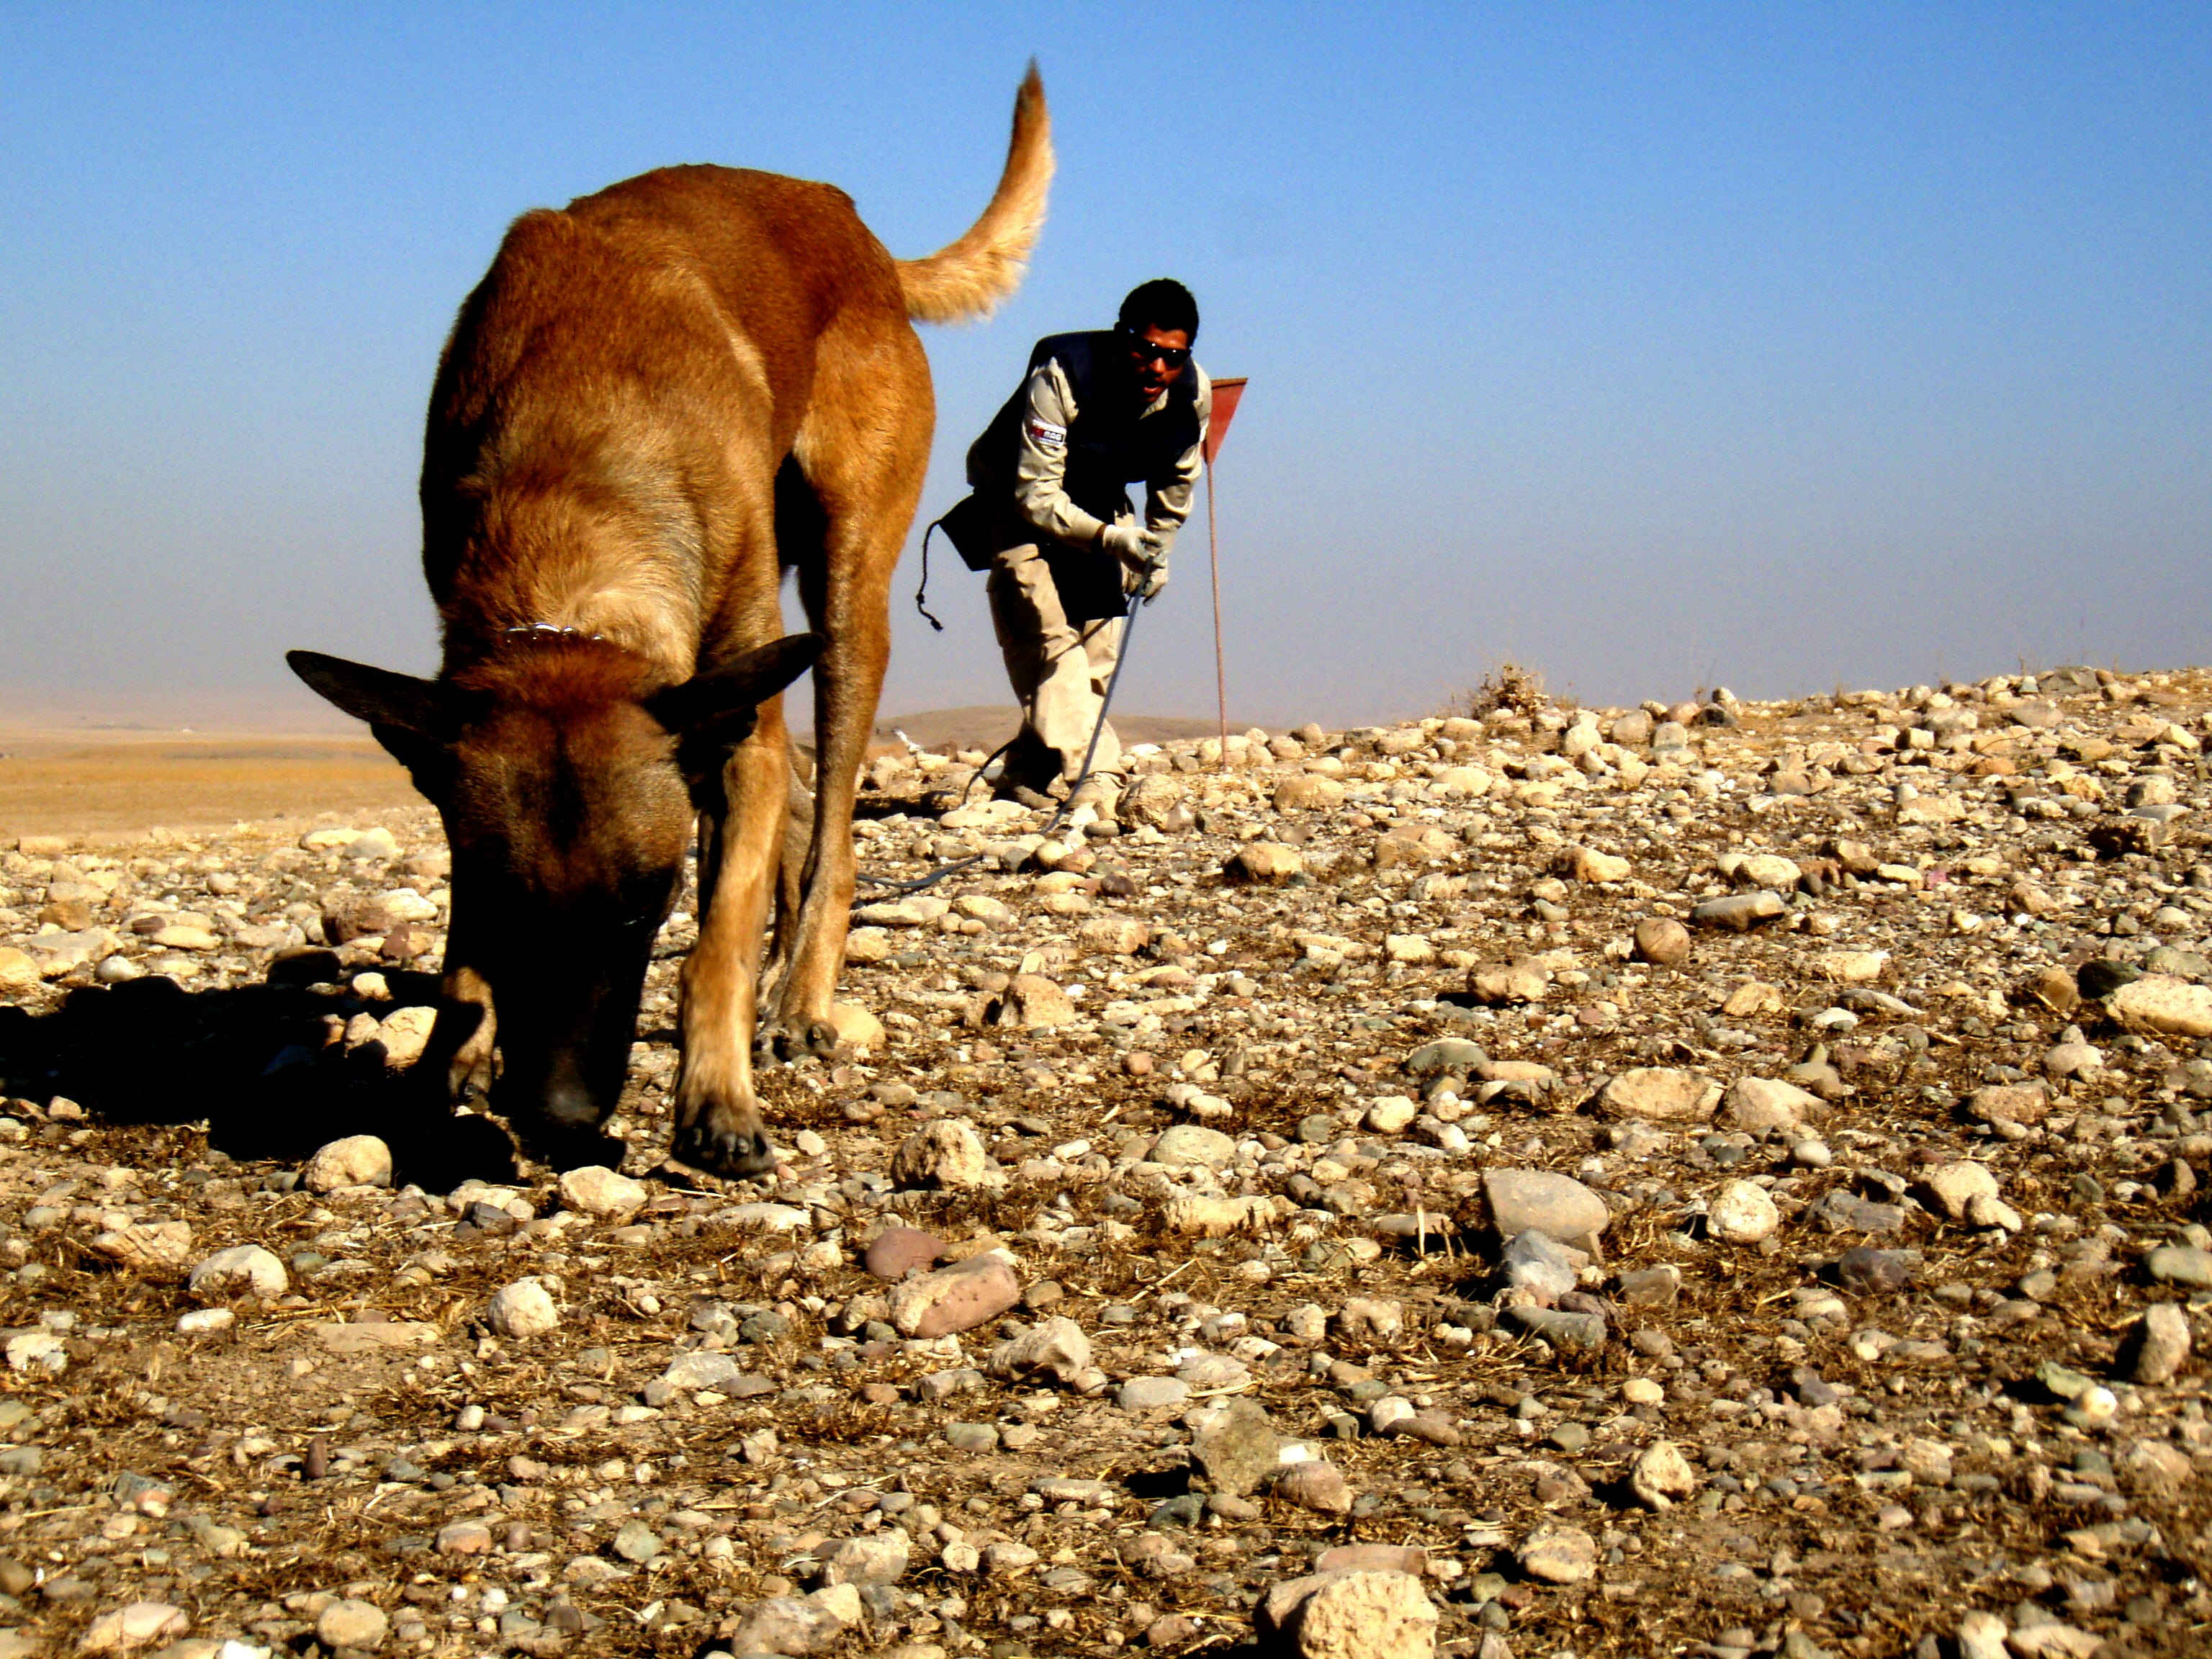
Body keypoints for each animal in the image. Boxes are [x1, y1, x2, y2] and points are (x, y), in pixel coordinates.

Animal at [292, 68, 1053, 1185]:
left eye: (645, 905)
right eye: (509, 903)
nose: (558, 1116)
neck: (577, 491)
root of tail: (860, 237)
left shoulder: (738, 719)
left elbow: (717, 941)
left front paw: (718, 1099)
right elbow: (467, 954)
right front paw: (447, 1062)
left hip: (843, 608)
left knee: (830, 832)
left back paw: (800, 996)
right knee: (802, 816)